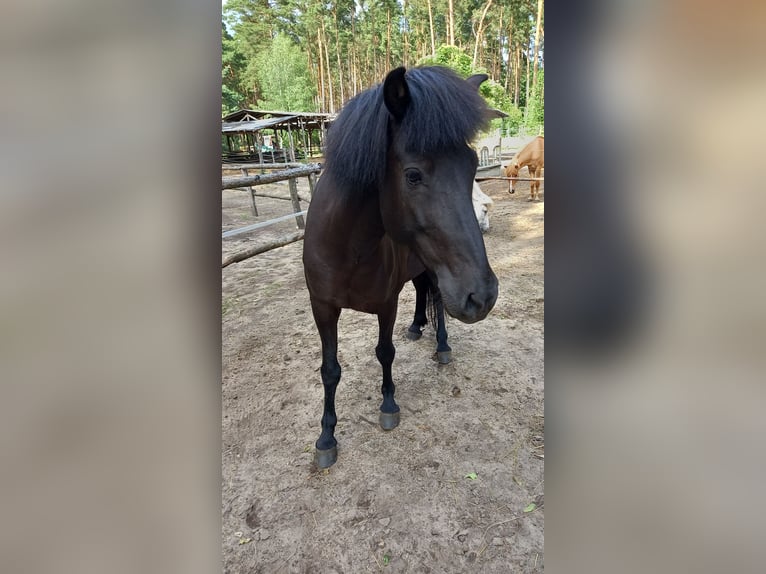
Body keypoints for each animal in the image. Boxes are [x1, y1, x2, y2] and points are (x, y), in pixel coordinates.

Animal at [300, 66, 498, 468]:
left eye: (472, 166)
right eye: (413, 175)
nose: (482, 297)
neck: (347, 249)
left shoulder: (385, 304)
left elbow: (384, 352)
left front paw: (388, 405)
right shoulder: (322, 308)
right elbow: (330, 370)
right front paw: (326, 437)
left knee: (435, 298)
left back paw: (441, 345)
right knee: (423, 292)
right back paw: (417, 325)